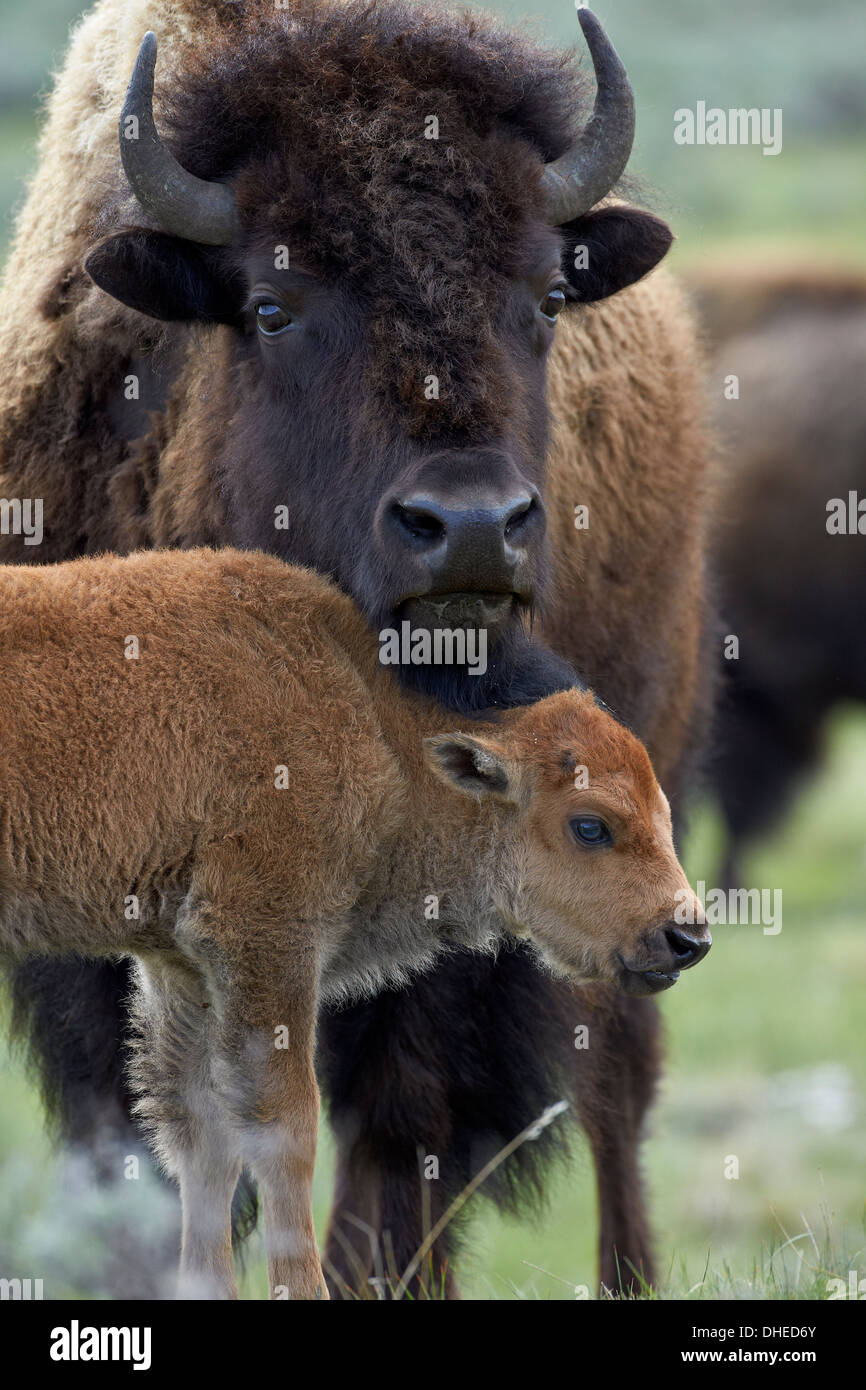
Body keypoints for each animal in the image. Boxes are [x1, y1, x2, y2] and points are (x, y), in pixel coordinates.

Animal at [0, 0, 714, 1296]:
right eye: (272, 308)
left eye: (545, 297)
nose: (470, 524)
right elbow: (151, 1133)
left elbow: (400, 1121)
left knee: (612, 1087)